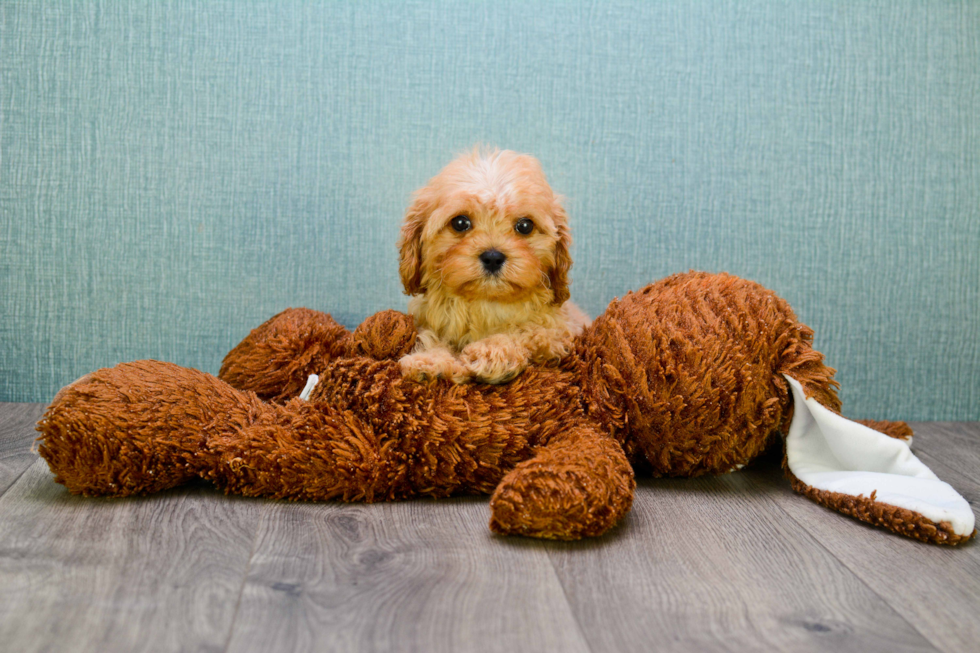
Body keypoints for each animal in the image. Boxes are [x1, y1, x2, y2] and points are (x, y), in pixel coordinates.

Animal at [394, 148, 584, 382]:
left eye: (525, 226)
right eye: (460, 223)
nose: (493, 257)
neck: (485, 303)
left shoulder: (559, 331)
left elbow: (527, 329)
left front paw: (492, 351)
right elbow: (433, 337)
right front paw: (431, 359)